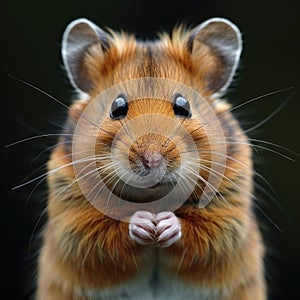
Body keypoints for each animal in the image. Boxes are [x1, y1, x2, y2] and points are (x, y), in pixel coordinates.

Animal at [36, 17, 266, 298]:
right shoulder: (72, 219)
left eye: (183, 106)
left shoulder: (228, 213)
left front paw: (165, 224)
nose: (152, 161)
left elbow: (205, 232)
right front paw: (144, 222)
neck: (153, 198)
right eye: (117, 108)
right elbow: (103, 231)